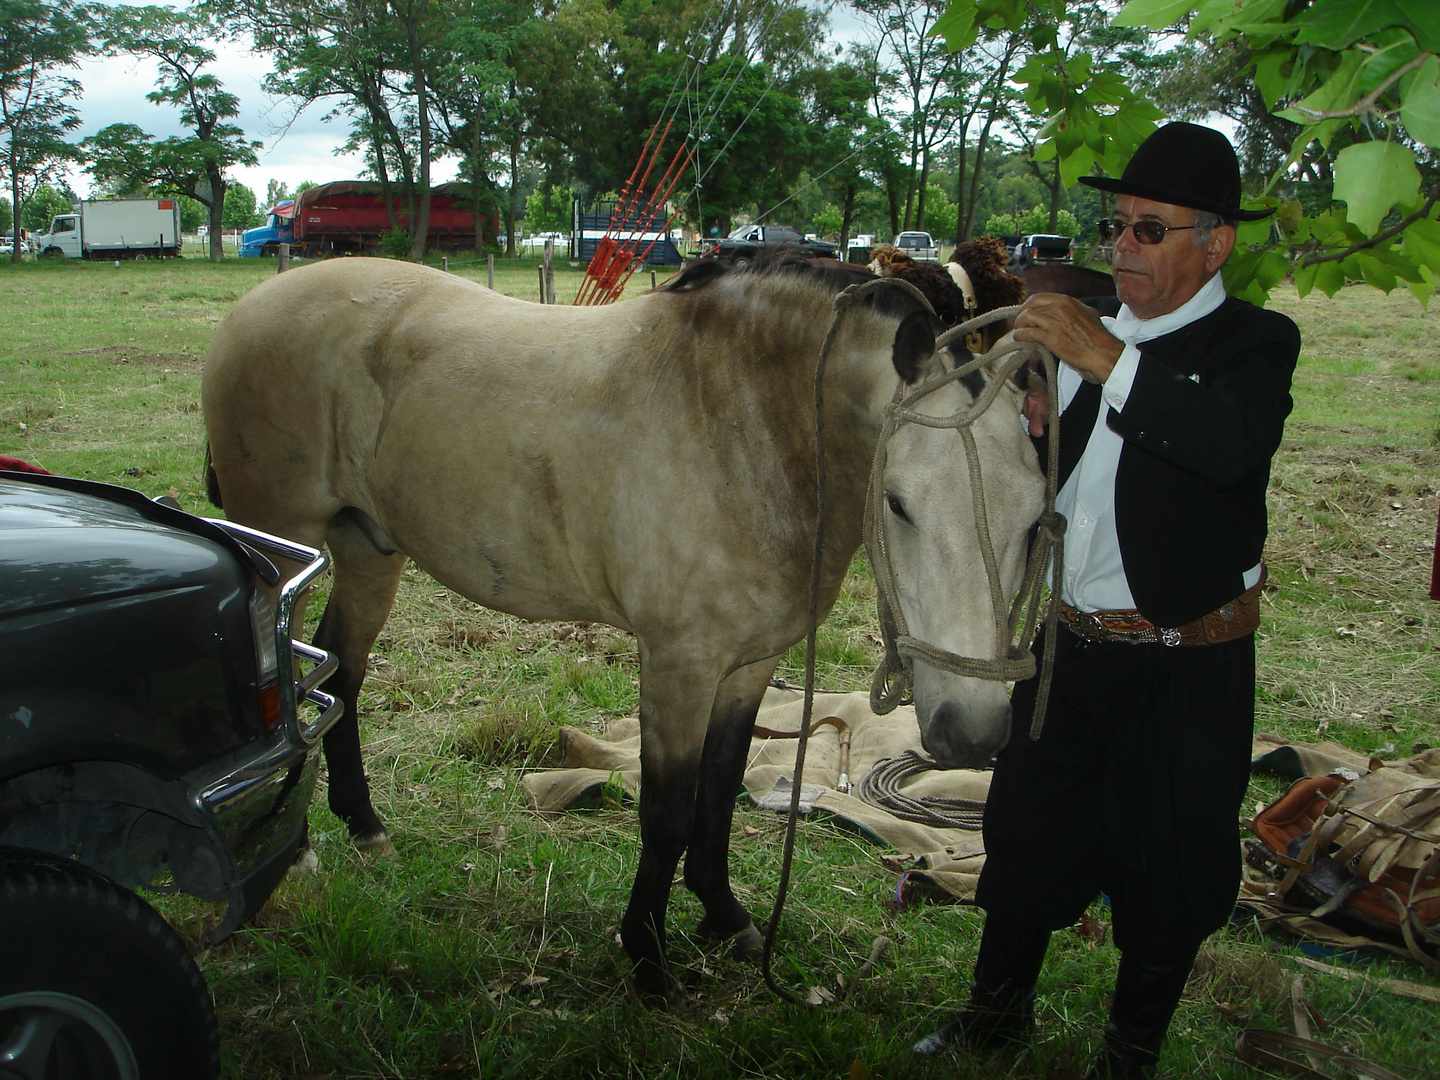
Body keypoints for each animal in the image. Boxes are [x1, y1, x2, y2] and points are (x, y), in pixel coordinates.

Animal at [197, 256, 1042, 1008]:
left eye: (1036, 518)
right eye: (897, 501)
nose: (971, 734)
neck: (742, 420)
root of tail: (252, 306)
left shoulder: (748, 663)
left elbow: (719, 790)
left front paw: (725, 917)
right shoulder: (679, 662)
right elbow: (667, 811)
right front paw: (648, 959)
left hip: (368, 548)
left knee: (341, 672)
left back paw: (363, 827)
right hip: (285, 548)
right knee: (296, 688)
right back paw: (296, 847)